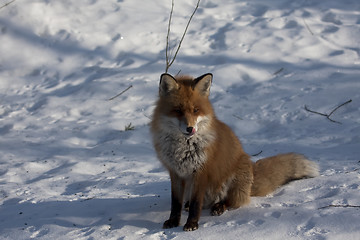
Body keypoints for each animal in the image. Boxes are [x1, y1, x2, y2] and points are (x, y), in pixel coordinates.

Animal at [150, 72, 320, 231]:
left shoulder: (201, 171)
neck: (183, 148)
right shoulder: (175, 173)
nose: (190, 129)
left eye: (196, 110)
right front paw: (173, 221)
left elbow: (195, 204)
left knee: (231, 201)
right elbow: (176, 203)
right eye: (178, 111)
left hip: (232, 180)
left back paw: (219, 207)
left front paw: (192, 224)